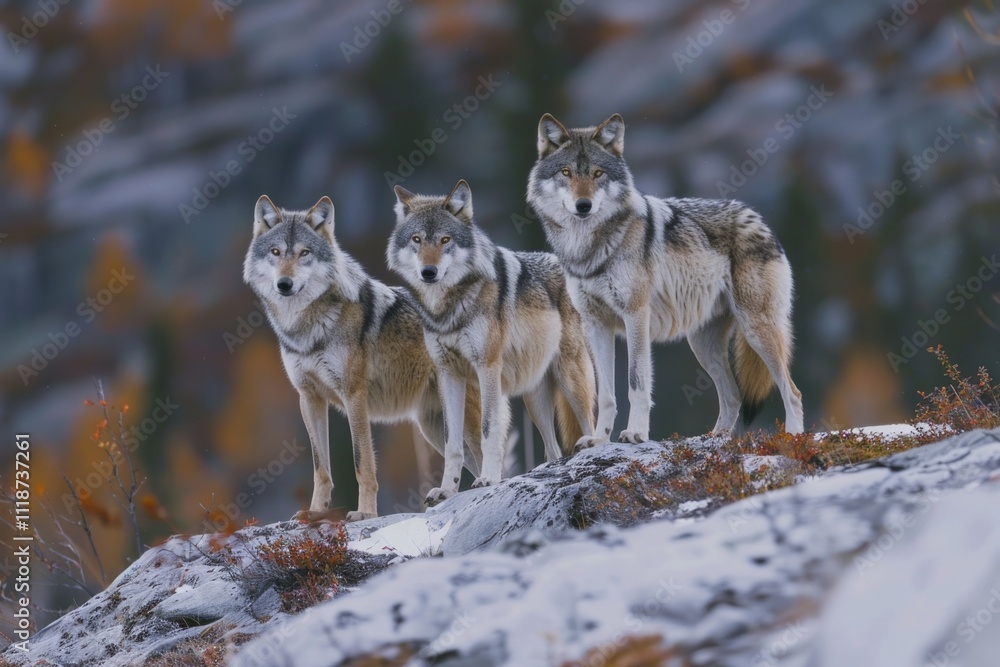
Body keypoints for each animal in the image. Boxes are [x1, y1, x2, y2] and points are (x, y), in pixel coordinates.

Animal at [243, 195, 483, 520]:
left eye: (304, 253)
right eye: (276, 252)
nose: (284, 284)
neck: (307, 329)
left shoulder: (353, 395)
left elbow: (362, 463)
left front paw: (365, 513)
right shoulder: (309, 398)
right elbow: (321, 468)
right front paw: (314, 513)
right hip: (434, 427)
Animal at [387, 180, 598, 503]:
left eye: (445, 240)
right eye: (417, 239)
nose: (428, 272)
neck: (447, 310)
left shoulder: (487, 368)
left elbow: (489, 432)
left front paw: (487, 479)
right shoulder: (448, 375)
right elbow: (452, 443)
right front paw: (447, 490)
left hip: (571, 377)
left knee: (591, 423)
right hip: (534, 398)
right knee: (553, 450)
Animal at [526, 113, 804, 442]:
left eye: (597, 173)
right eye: (566, 172)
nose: (584, 205)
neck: (589, 250)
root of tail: (758, 219)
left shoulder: (635, 315)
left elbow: (636, 384)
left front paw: (635, 433)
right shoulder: (596, 325)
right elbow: (606, 395)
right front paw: (599, 440)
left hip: (756, 328)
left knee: (792, 392)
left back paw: (793, 438)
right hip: (703, 345)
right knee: (733, 396)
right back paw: (714, 439)